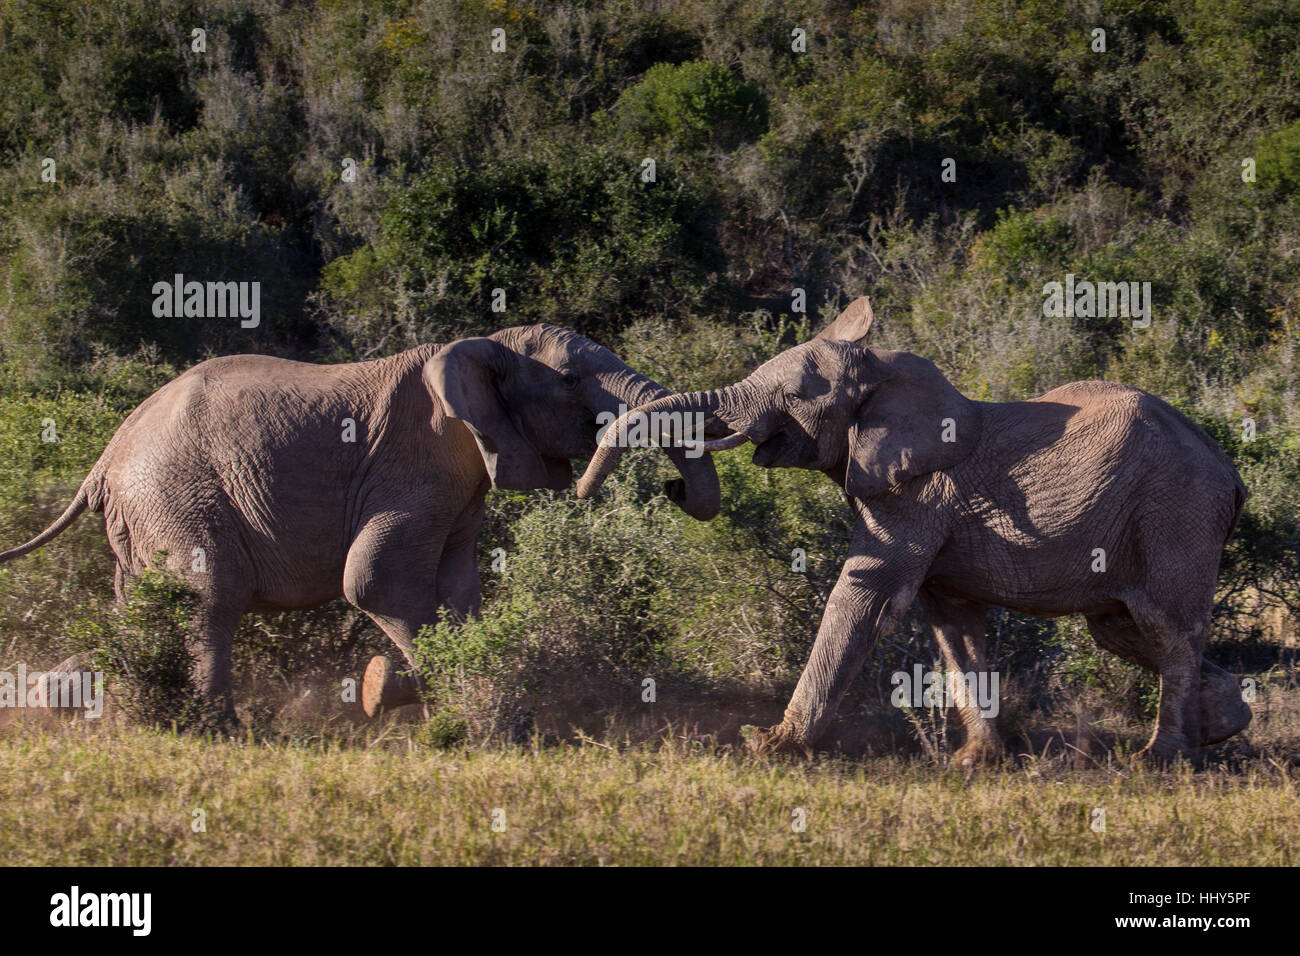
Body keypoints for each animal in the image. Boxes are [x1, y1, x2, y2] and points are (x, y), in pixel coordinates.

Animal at [0, 327, 722, 723]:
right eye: (571, 378)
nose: (671, 486)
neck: (482, 345)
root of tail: (102, 461)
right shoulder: (413, 465)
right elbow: (375, 581)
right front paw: (420, 702)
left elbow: (459, 590)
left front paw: (484, 713)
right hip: (174, 495)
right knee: (208, 602)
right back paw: (217, 732)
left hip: (142, 519)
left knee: (140, 612)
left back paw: (83, 706)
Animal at [577, 295, 1248, 764]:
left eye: (794, 395)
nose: (671, 487)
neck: (882, 377)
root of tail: (1231, 473)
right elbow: (952, 626)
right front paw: (974, 764)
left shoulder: (915, 496)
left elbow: (865, 595)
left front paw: (766, 746)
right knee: (1121, 628)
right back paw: (1226, 721)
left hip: (1176, 512)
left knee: (1168, 628)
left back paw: (1160, 759)